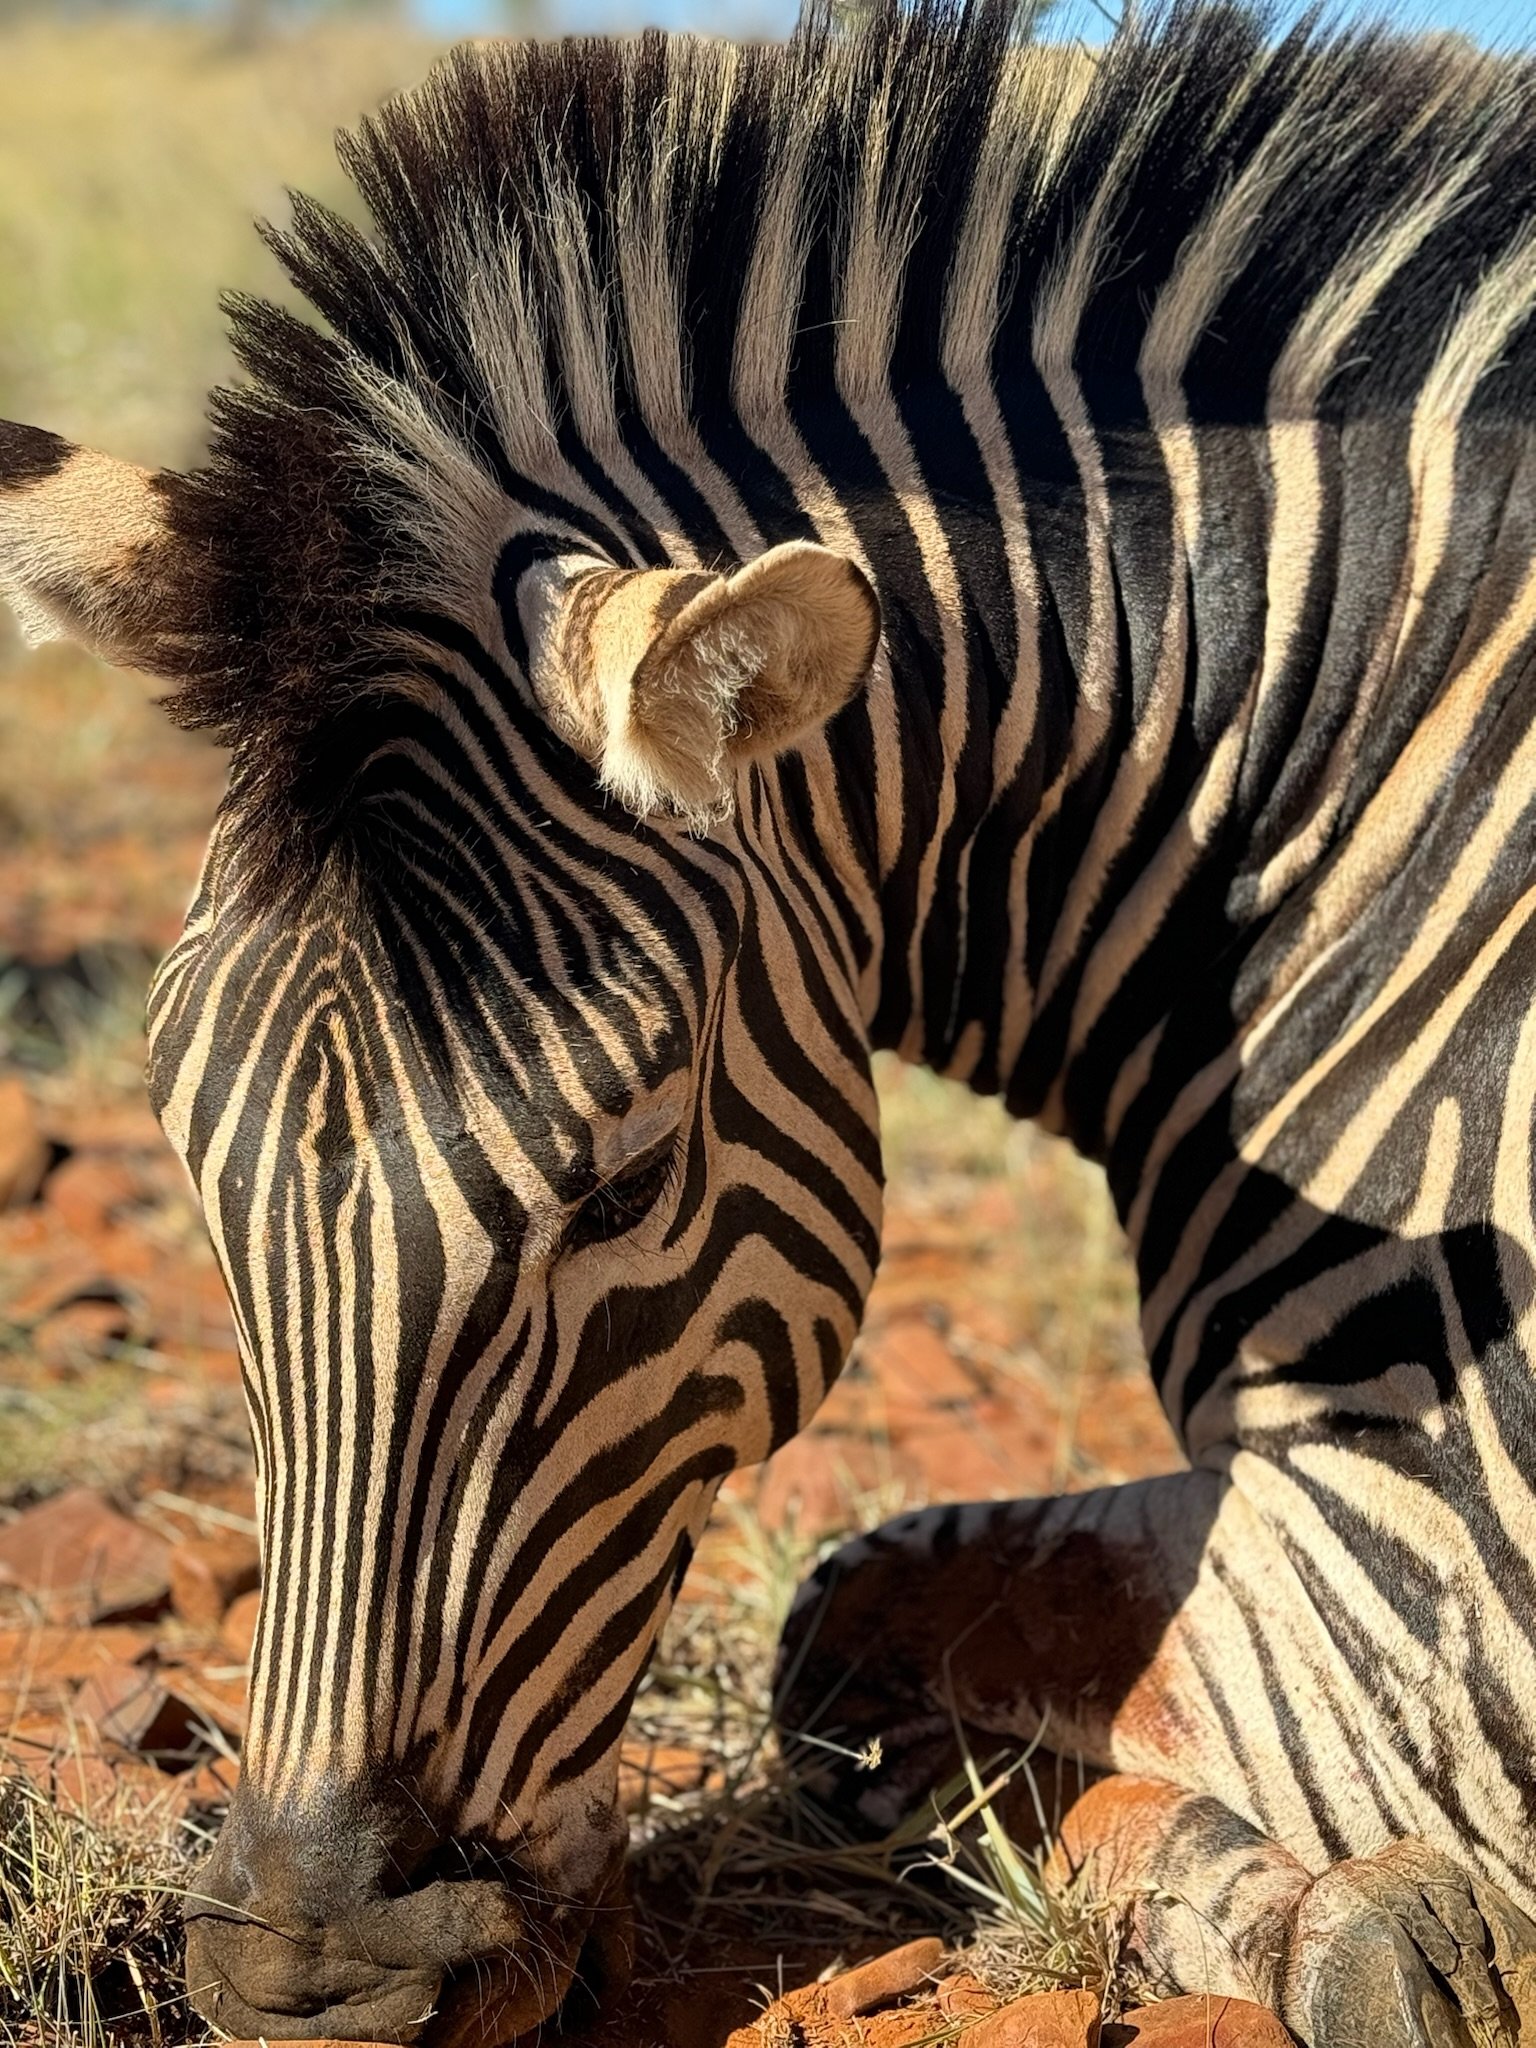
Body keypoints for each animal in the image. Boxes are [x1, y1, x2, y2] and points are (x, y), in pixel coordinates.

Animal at [3, 1, 1536, 2040]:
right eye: (189, 1159)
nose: (303, 1973)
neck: (1346, 818)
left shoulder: (1424, 1578)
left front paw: (1316, 1912)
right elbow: (857, 1626)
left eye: (623, 1180)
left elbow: (852, 1620)